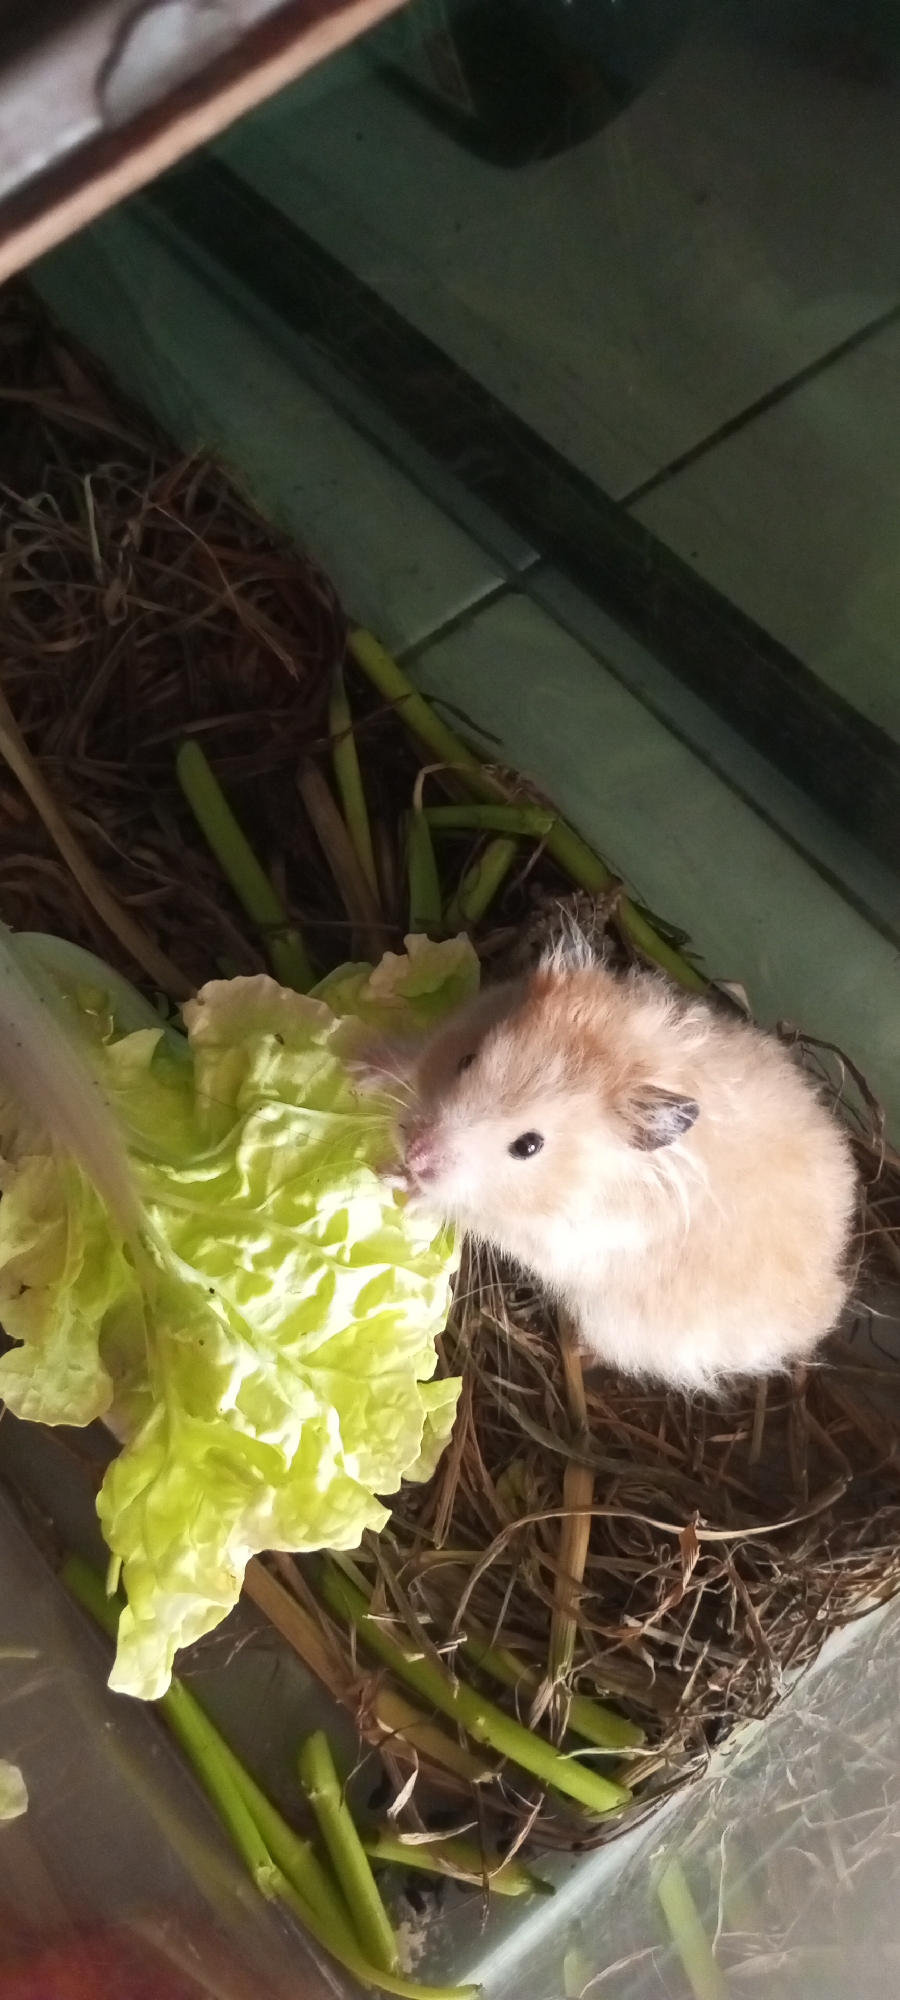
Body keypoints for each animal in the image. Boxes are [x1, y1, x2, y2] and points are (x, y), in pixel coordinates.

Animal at [372, 948, 858, 1391]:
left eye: (528, 1146)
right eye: (467, 1060)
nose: (415, 1151)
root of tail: (830, 1288)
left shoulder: (557, 1241)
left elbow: (471, 1212)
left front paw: (394, 1183)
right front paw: (368, 1062)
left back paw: (579, 1354)